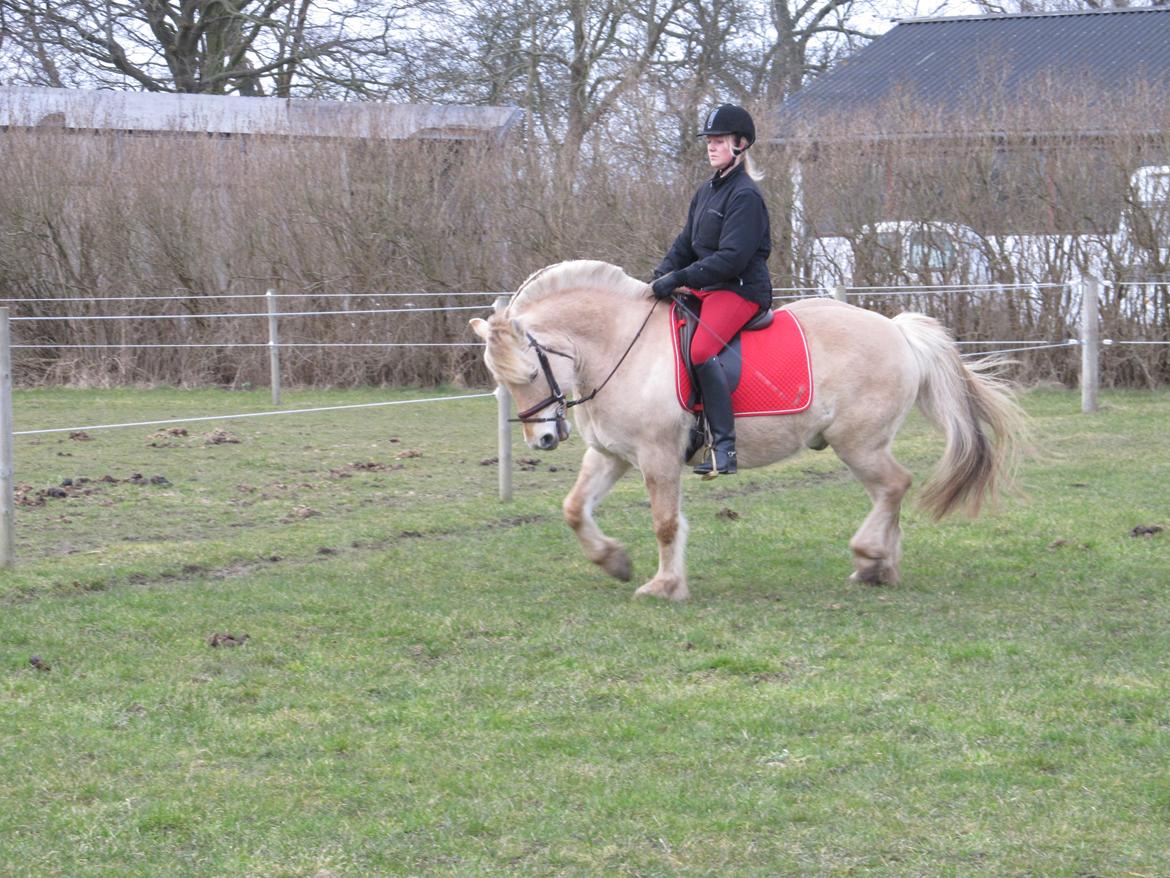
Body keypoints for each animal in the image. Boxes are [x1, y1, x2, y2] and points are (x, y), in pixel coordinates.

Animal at [470, 259, 1020, 604]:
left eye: (529, 373)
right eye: (502, 380)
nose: (542, 440)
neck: (618, 347)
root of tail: (898, 330)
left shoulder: (657, 456)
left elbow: (665, 523)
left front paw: (664, 587)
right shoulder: (613, 455)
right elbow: (574, 509)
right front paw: (614, 561)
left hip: (857, 443)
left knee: (894, 485)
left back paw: (869, 557)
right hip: (863, 444)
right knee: (890, 491)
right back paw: (880, 568)